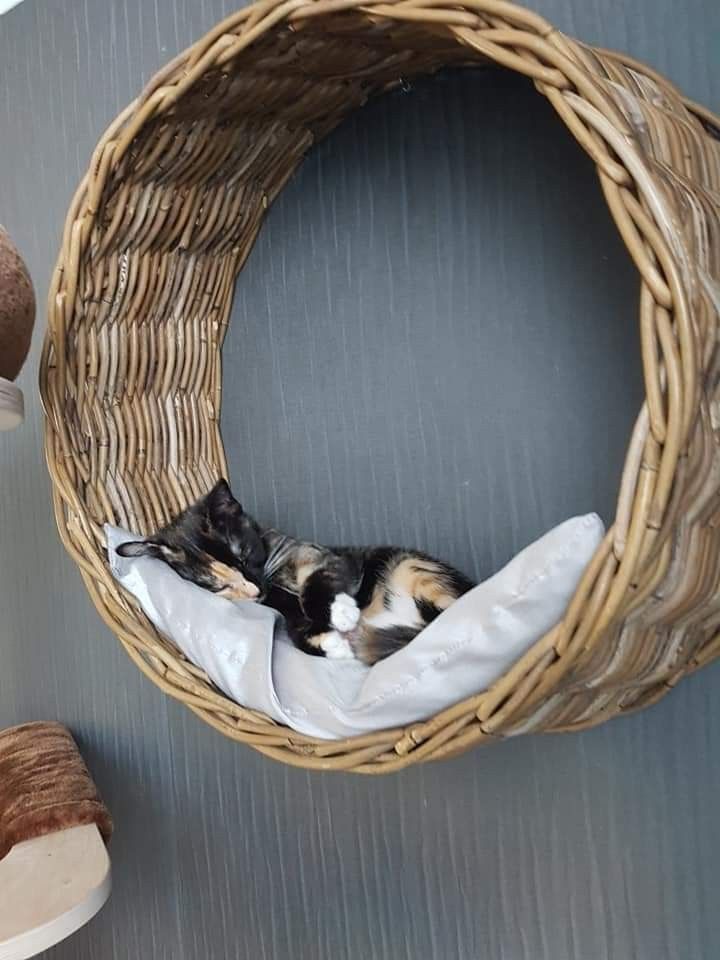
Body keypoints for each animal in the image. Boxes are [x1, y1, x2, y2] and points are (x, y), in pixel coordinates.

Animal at [116, 478, 476, 664]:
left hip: (415, 568)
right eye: (217, 587)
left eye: (243, 555)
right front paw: (330, 643)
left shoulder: (318, 556)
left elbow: (316, 582)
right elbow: (292, 625)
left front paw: (340, 613)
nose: (254, 591)